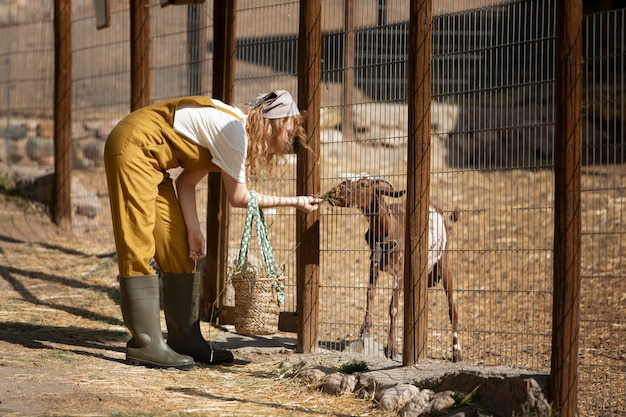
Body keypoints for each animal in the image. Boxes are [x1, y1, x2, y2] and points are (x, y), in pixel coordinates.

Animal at [324, 176, 460, 360]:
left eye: (363, 184)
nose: (334, 191)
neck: (388, 228)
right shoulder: (373, 265)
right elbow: (370, 294)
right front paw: (365, 329)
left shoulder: (399, 273)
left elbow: (393, 308)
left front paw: (392, 347)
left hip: (443, 260)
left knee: (452, 307)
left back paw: (456, 352)